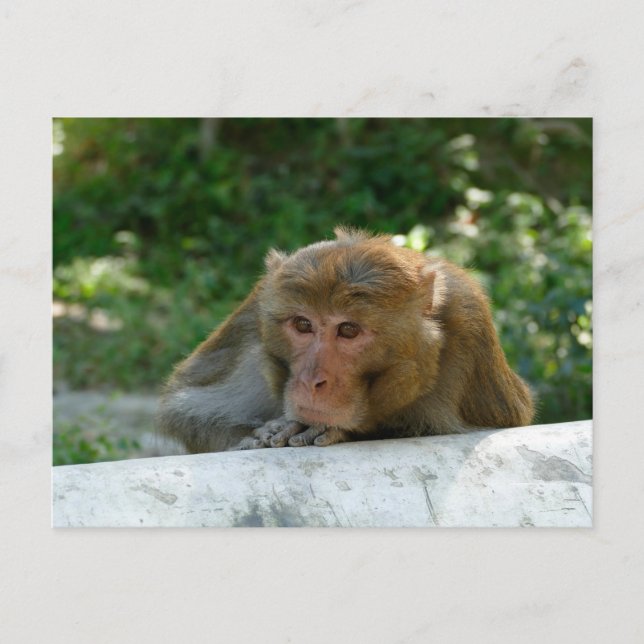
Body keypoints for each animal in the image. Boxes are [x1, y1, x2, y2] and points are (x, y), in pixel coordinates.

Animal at [157, 228, 534, 452]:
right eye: (303, 324)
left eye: (349, 330)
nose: (312, 381)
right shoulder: (254, 315)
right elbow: (185, 409)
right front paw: (258, 436)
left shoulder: (468, 320)